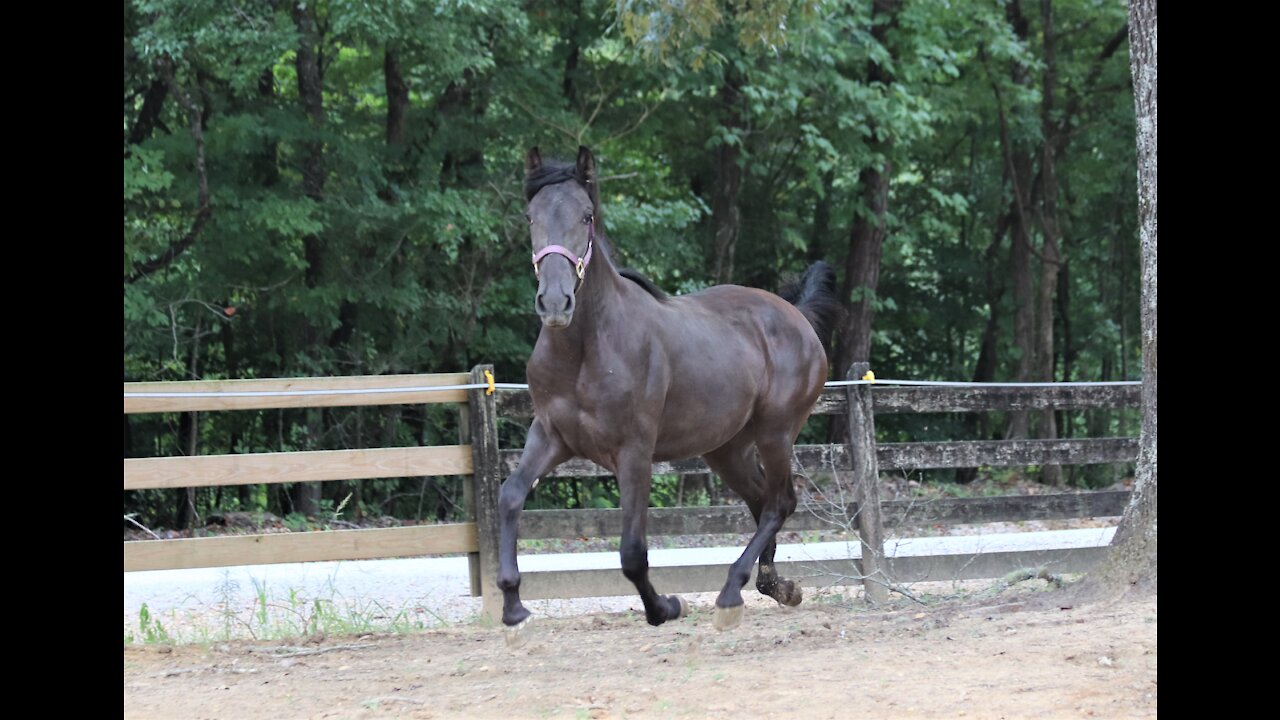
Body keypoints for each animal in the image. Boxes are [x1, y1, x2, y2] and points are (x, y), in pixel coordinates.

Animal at [496, 144, 839, 632]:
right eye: (530, 216)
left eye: (586, 216)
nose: (556, 302)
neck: (585, 350)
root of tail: (797, 316)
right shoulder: (550, 436)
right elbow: (510, 496)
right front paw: (513, 605)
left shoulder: (634, 452)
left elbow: (632, 551)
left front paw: (664, 608)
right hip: (727, 448)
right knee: (761, 501)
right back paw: (776, 586)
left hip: (776, 433)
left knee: (779, 503)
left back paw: (732, 591)